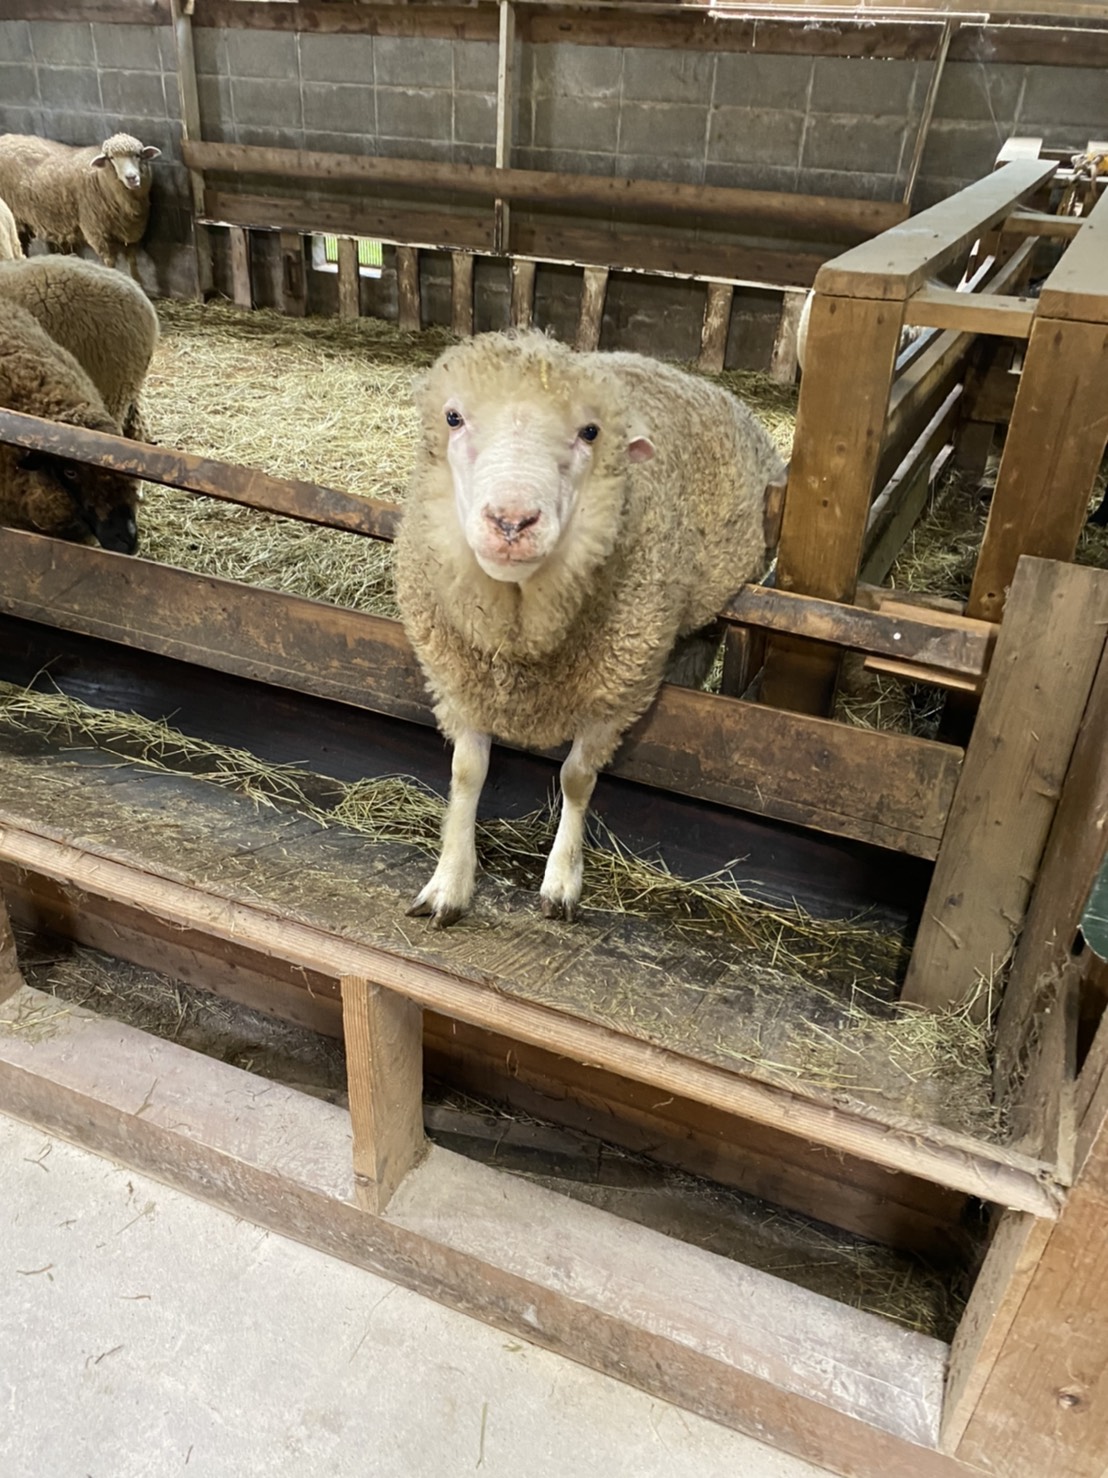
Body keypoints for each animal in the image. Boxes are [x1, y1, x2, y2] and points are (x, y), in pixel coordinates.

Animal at [0, 132, 160, 280]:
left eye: (138, 155)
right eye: (111, 158)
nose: (132, 177)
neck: (100, 179)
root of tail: (4, 137)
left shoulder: (132, 233)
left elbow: (133, 262)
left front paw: (138, 282)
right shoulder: (96, 232)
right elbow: (110, 263)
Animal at [394, 329, 786, 927]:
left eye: (590, 432)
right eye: (453, 417)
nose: (512, 521)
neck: (521, 633)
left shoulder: (614, 693)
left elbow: (576, 779)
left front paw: (561, 882)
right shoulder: (462, 678)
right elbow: (466, 771)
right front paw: (450, 883)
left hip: (711, 611)